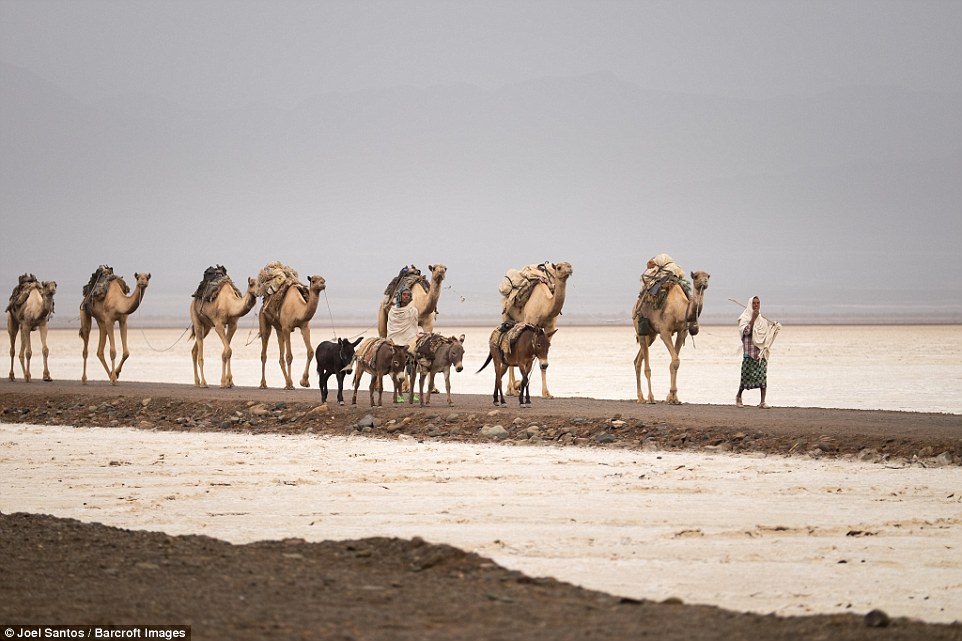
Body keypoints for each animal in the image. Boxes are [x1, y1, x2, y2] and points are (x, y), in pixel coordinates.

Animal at [498, 260, 572, 396]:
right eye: (559, 267)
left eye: (569, 265)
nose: (569, 269)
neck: (545, 307)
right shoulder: (530, 322)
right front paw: (521, 387)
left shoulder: (549, 329)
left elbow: (543, 361)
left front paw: (546, 393)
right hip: (506, 316)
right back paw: (511, 390)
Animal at [632, 268, 712, 402]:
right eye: (696, 276)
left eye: (708, 276)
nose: (704, 282)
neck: (680, 309)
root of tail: (635, 305)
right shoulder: (665, 332)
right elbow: (675, 361)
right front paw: (672, 395)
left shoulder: (682, 332)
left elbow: (674, 363)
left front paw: (673, 397)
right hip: (640, 328)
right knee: (646, 366)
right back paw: (650, 398)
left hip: (652, 335)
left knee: (637, 360)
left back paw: (640, 397)